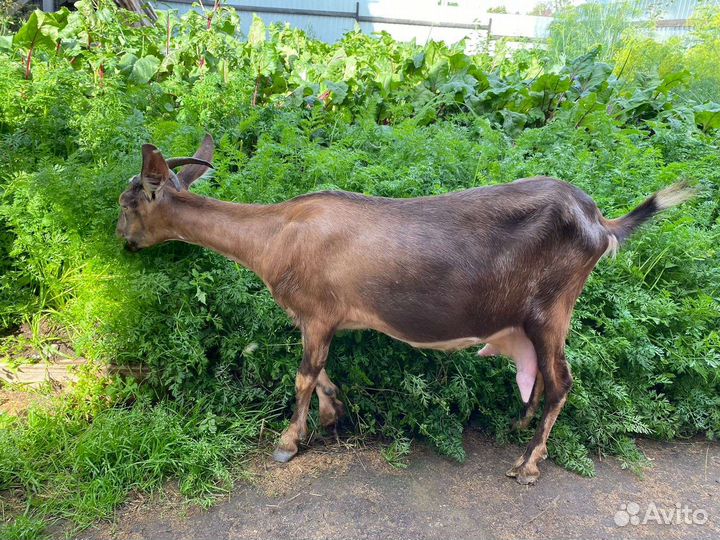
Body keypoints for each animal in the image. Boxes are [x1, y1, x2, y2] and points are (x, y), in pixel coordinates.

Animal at [116, 134, 693, 484]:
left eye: (128, 202)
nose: (123, 241)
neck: (275, 235)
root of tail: (600, 222)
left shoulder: (317, 314)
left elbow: (303, 374)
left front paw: (289, 441)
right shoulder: (324, 319)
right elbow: (321, 373)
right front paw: (335, 413)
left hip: (553, 308)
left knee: (562, 382)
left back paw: (528, 464)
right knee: (540, 379)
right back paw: (518, 427)